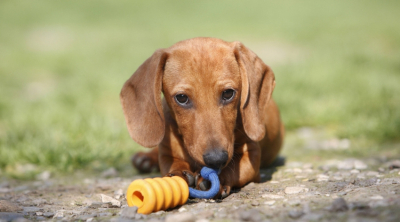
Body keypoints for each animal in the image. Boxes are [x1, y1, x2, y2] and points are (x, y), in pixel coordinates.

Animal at [120, 37, 282, 199]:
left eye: (228, 93)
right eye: (181, 97)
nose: (216, 159)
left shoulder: (252, 156)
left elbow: (234, 166)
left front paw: (218, 178)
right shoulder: (166, 154)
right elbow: (173, 164)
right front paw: (178, 174)